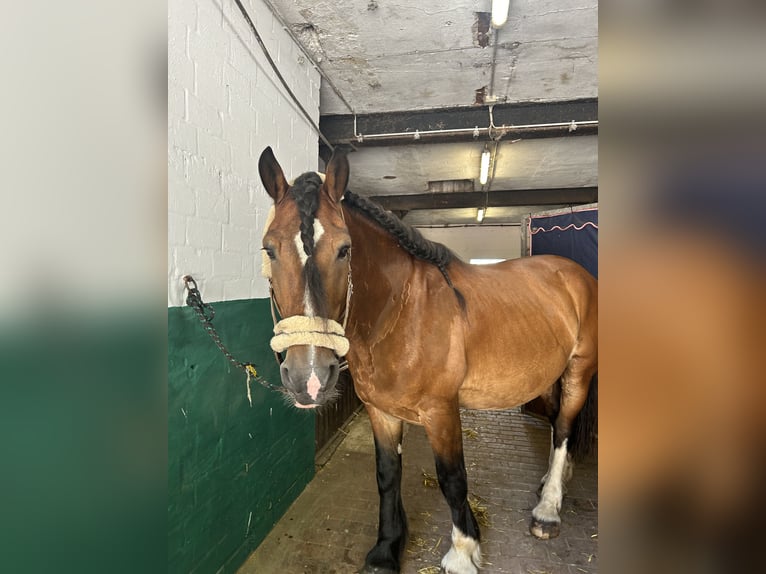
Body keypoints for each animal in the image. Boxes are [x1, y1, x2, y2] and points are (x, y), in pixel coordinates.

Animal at [258, 150, 600, 574]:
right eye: (269, 249)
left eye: (344, 249)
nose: (309, 377)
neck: (401, 312)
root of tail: (575, 273)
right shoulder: (381, 411)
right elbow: (387, 475)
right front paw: (386, 549)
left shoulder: (442, 411)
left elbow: (452, 479)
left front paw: (463, 552)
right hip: (548, 376)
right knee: (556, 426)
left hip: (579, 371)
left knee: (566, 427)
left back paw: (547, 510)